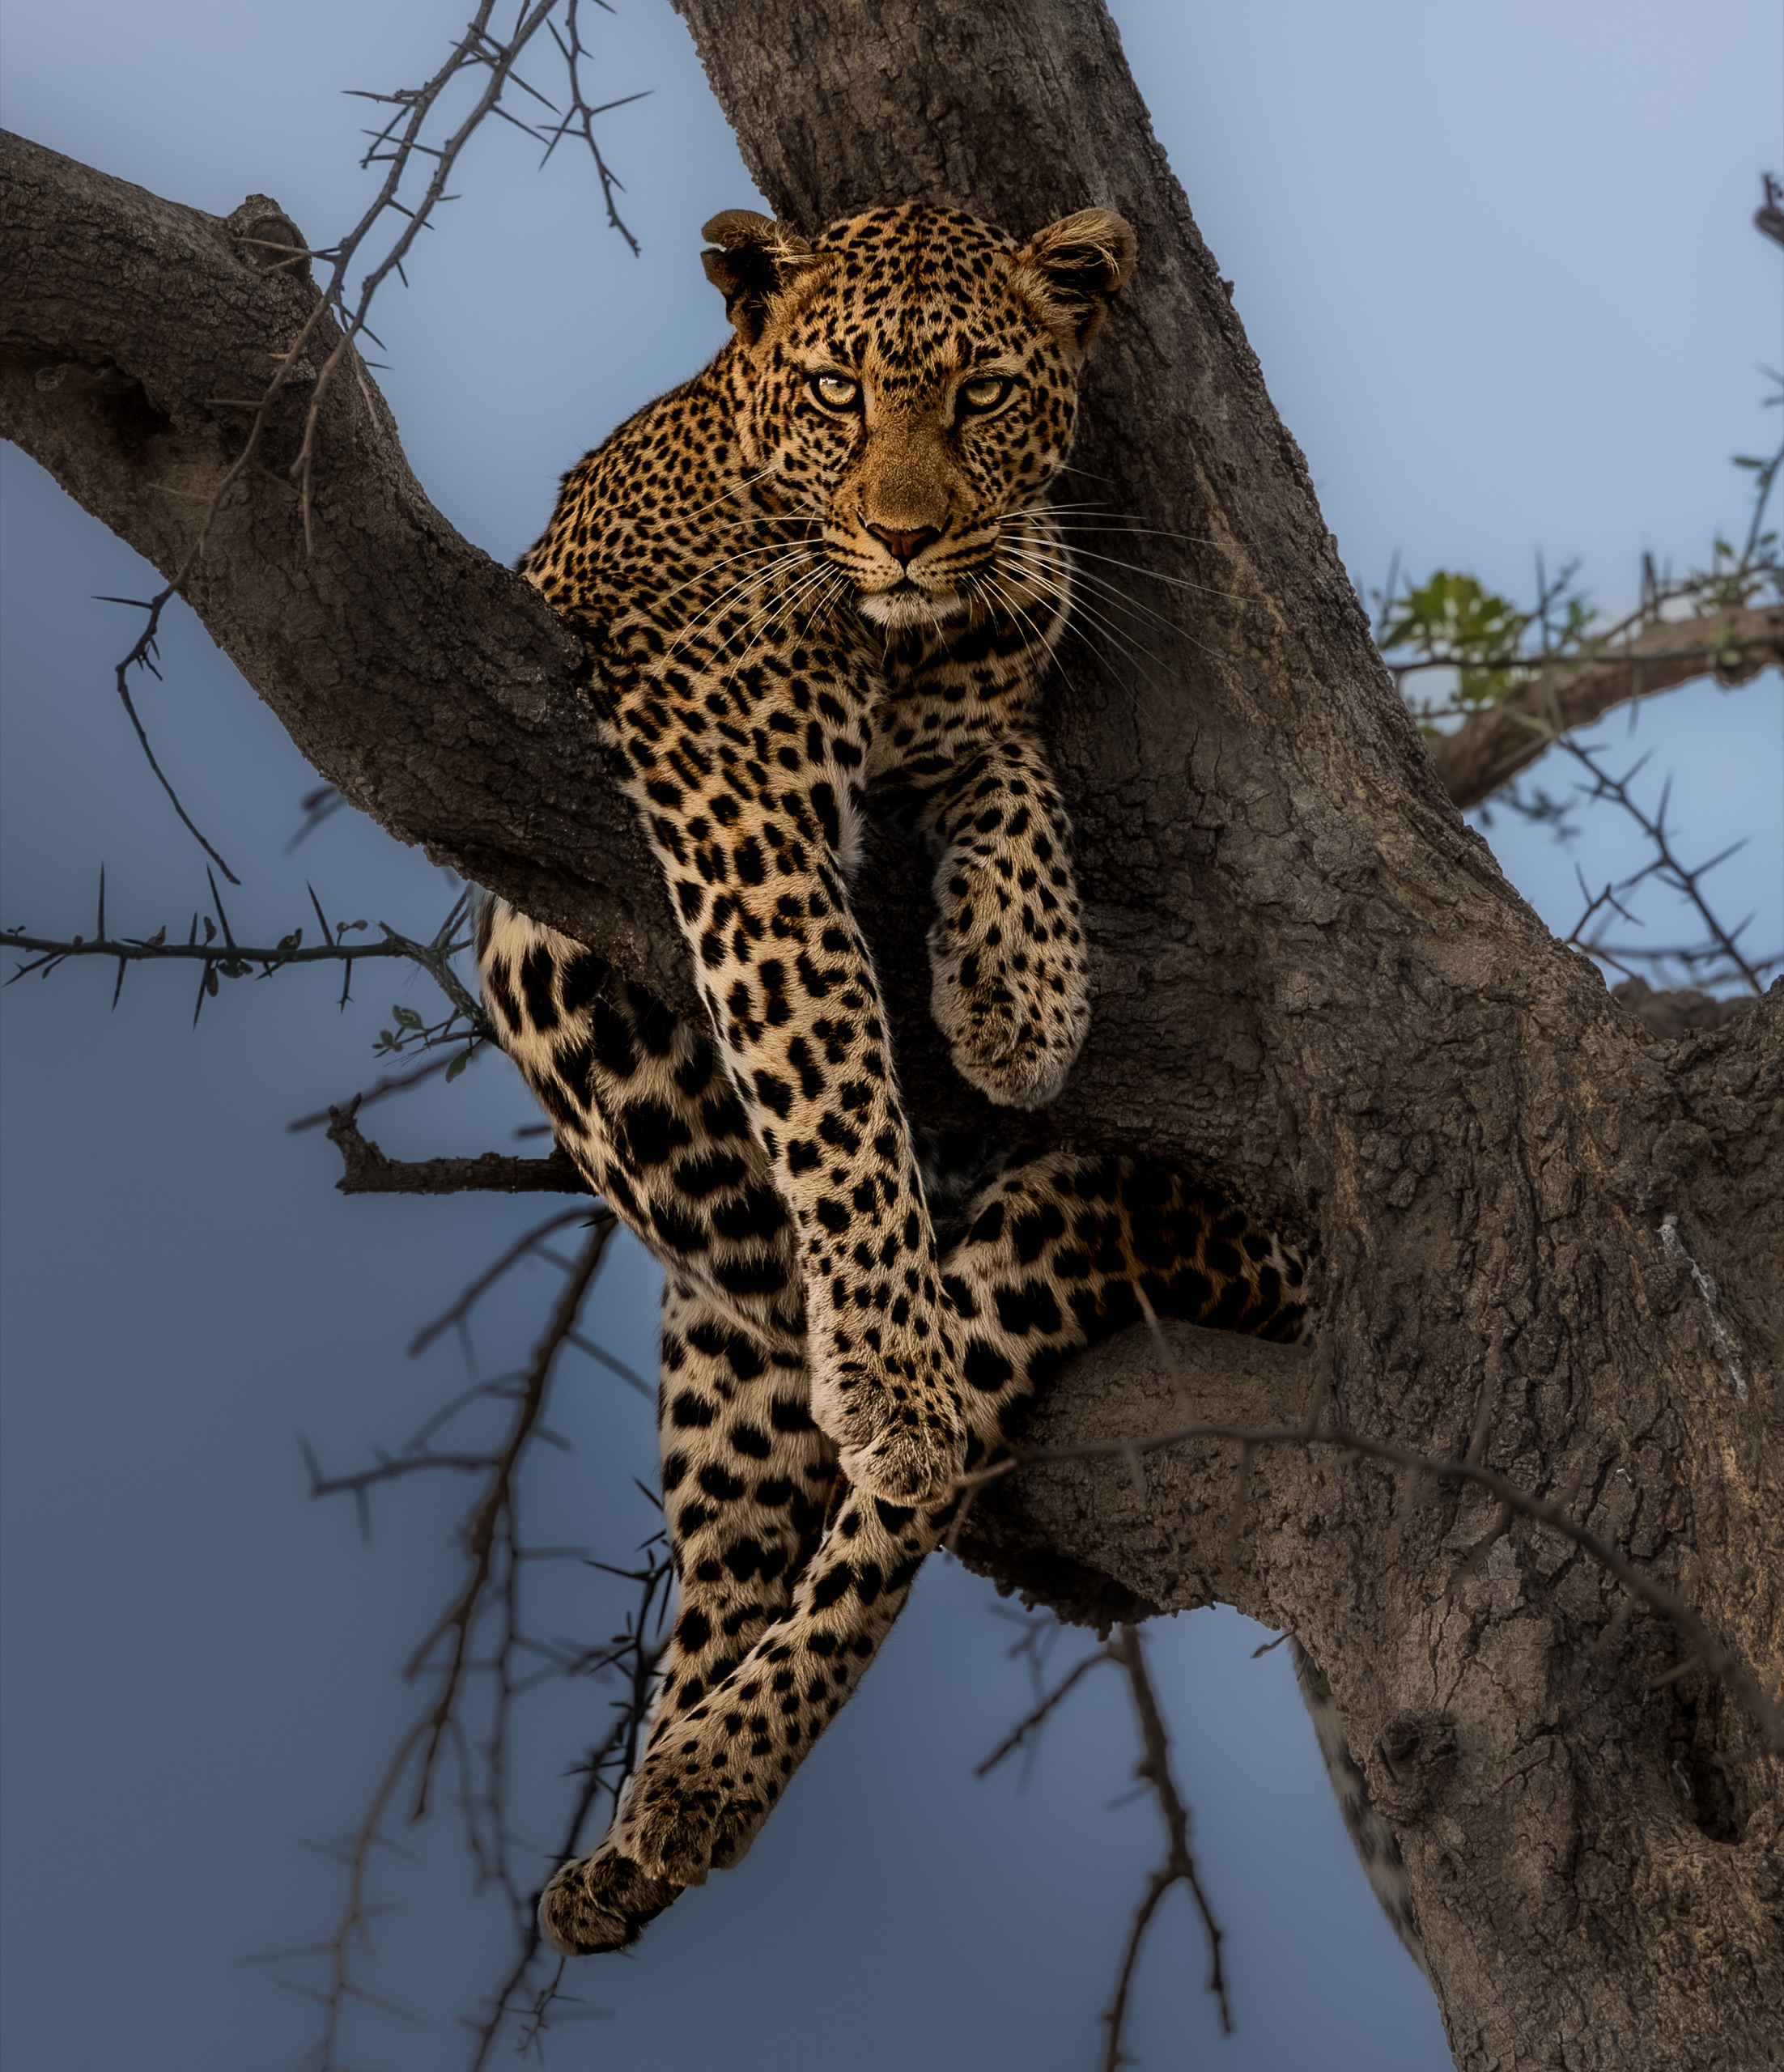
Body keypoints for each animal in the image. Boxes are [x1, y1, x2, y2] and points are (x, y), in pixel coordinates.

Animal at [475, 200, 1327, 1957]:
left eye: (985, 396)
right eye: (838, 394)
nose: (910, 535)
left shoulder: (988, 687)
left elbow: (1013, 779)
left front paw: (1021, 988)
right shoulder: (733, 789)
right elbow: (829, 1068)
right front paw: (879, 1356)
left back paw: (701, 1777)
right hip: (720, 1336)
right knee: (746, 1528)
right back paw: (657, 1804)